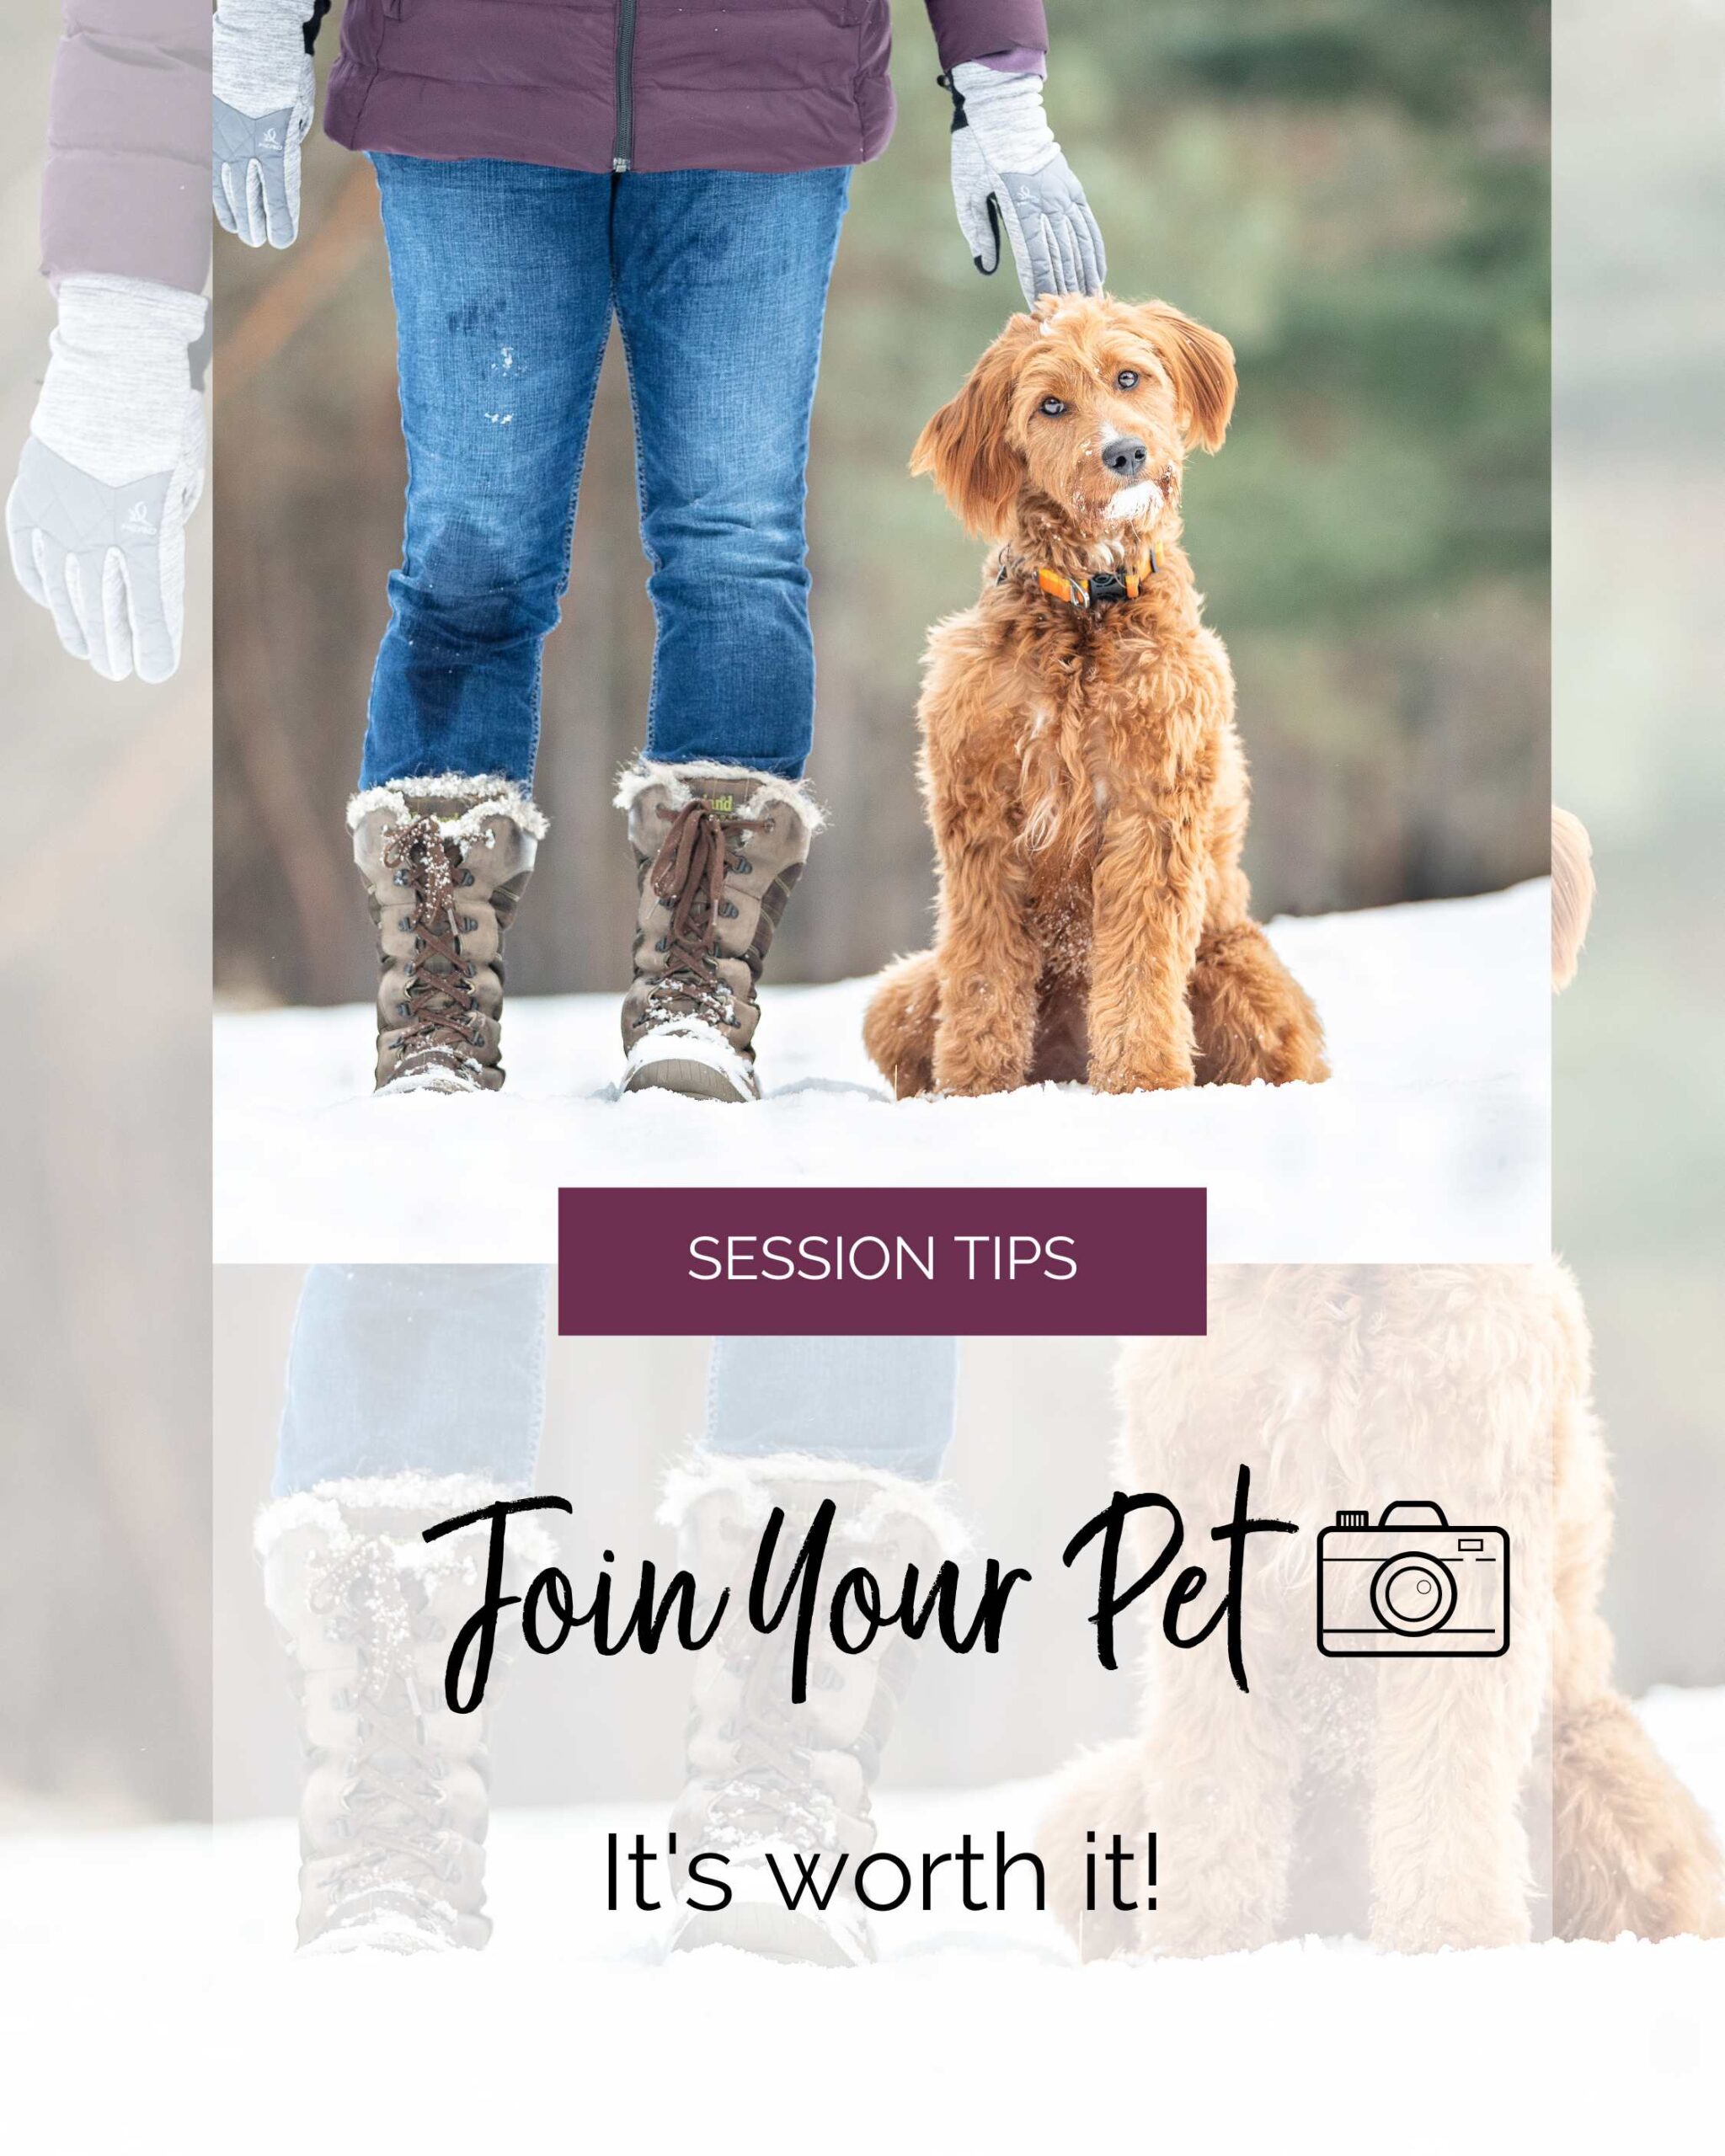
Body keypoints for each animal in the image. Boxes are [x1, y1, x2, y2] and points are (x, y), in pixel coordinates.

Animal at [871, 295, 1327, 1103]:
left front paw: (1142, 1079)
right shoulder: (980, 814)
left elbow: (1143, 959)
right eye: (1050, 405)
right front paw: (975, 1089)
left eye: (1129, 377)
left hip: (1246, 977)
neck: (1089, 603)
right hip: (896, 998)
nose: (1125, 454)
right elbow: (984, 970)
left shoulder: (1154, 804)